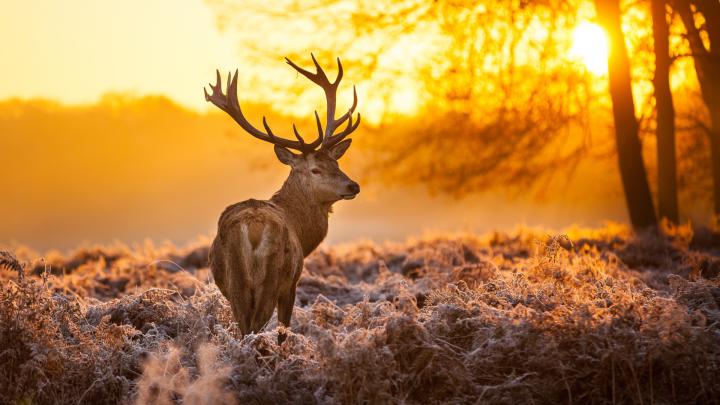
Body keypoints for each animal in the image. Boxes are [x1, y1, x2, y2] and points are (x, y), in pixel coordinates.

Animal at [204, 55, 361, 343]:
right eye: (315, 169)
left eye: (336, 162)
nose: (353, 185)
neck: (302, 231)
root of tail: (252, 227)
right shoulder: (292, 284)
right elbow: (283, 331)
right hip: (272, 278)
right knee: (255, 329)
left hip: (235, 284)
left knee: (244, 329)